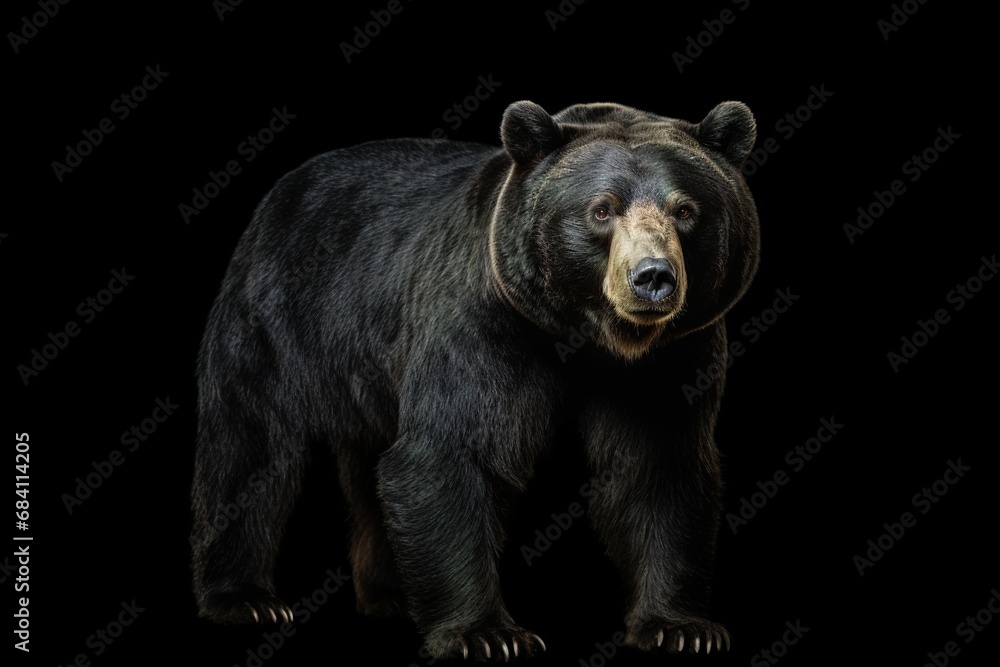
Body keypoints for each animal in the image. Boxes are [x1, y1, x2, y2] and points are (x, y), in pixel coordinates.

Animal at [190, 98, 760, 661]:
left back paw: (388, 594)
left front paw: (680, 627)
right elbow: (450, 451)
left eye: (685, 210)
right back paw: (246, 600)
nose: (652, 276)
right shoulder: (480, 321)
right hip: (280, 316)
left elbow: (661, 465)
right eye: (602, 209)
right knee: (250, 443)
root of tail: (284, 188)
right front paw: (487, 634)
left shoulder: (675, 353)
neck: (586, 335)